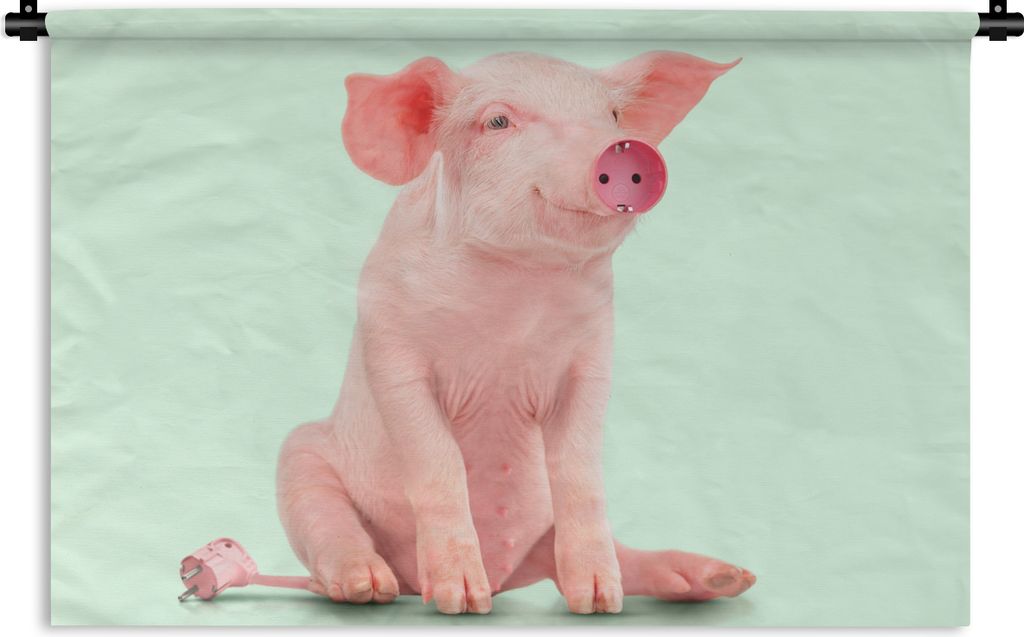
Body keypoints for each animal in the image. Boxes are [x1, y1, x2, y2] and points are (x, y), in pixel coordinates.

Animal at [276, 51, 754, 615]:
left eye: (613, 116)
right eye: (498, 121)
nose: (621, 149)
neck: (514, 297)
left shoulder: (592, 359)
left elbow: (579, 469)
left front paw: (598, 601)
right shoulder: (389, 345)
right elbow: (438, 459)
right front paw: (460, 601)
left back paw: (721, 579)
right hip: (302, 460)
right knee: (330, 526)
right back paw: (368, 587)